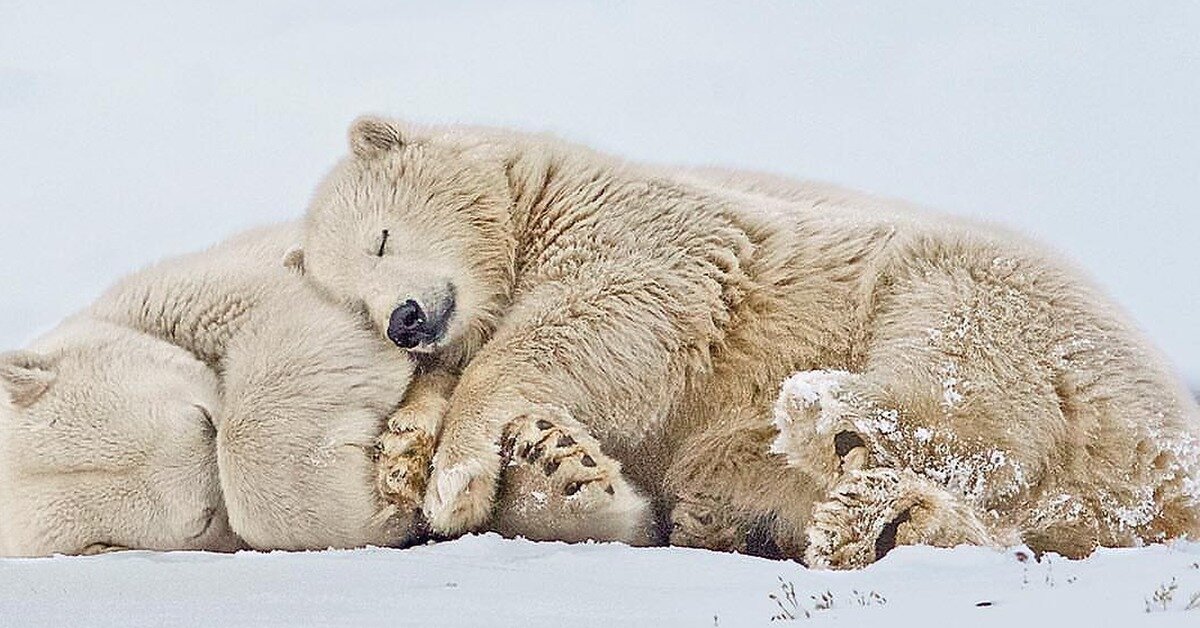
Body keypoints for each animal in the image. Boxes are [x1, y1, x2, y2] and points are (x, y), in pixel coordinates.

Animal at [0, 222, 646, 556]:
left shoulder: (184, 290)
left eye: (203, 421)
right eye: (202, 518)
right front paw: (383, 496)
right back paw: (555, 470)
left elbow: (303, 307)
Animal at [291, 116, 1200, 568]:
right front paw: (411, 454)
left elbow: (617, 313)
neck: (538, 202)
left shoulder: (651, 231)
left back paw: (826, 417)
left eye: (379, 237)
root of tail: (1167, 453)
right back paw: (868, 520)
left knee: (964, 378)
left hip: (989, 291)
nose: (405, 320)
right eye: (354, 303)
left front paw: (456, 474)